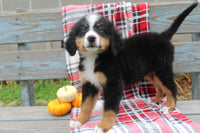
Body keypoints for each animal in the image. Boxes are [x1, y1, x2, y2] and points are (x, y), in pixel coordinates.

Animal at [65, 3, 198, 133]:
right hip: (151, 72)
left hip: (162, 69)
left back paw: (169, 106)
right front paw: (79, 121)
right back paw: (156, 100)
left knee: (172, 87)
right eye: (83, 30)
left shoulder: (114, 84)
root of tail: (163, 36)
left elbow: (109, 108)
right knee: (160, 87)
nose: (91, 38)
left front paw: (104, 126)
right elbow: (85, 105)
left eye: (101, 30)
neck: (94, 57)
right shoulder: (89, 83)